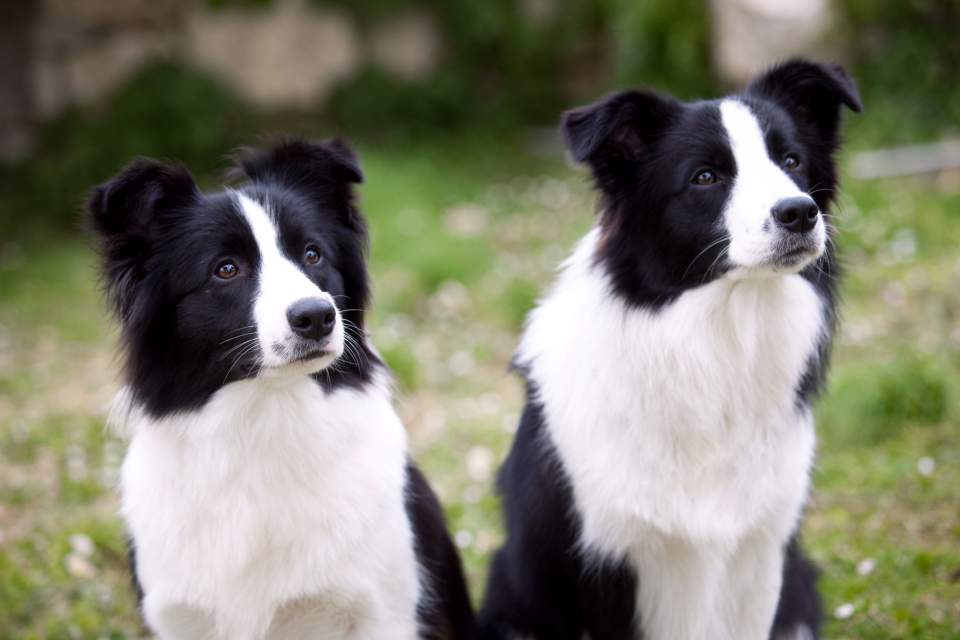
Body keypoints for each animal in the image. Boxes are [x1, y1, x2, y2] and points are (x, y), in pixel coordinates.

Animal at [480, 61, 864, 640]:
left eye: (791, 161)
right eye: (705, 177)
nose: (800, 212)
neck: (718, 341)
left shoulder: (762, 553)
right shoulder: (604, 561)